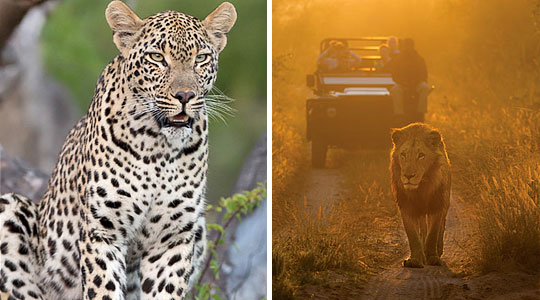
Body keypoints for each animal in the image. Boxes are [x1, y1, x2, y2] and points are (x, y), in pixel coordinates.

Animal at [0, 1, 236, 298]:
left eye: (201, 58)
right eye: (157, 57)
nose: (185, 96)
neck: (159, 148)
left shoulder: (173, 240)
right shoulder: (102, 232)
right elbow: (104, 288)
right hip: (10, 211)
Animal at [388, 123, 452, 268]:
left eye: (421, 155)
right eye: (403, 154)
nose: (408, 176)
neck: (420, 190)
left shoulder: (437, 206)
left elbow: (433, 233)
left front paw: (432, 257)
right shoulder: (406, 207)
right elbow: (413, 236)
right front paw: (416, 260)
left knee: (441, 227)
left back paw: (438, 250)